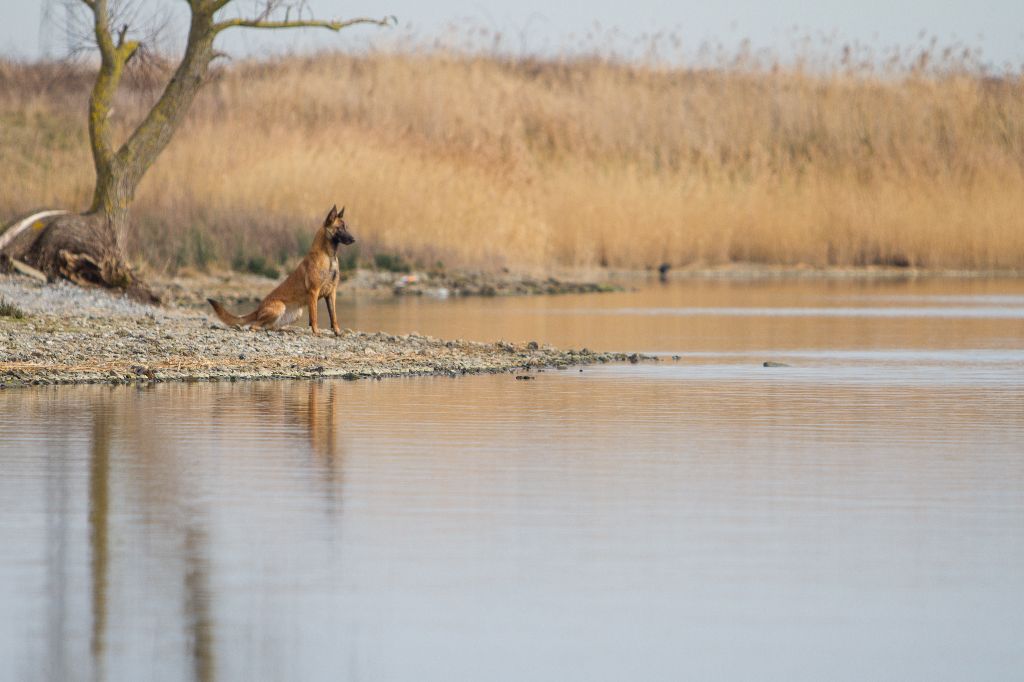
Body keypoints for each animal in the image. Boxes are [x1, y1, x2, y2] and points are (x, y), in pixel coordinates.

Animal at [205, 205, 358, 335]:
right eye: (339, 228)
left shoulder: (331, 293)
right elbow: (314, 316)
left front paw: (337, 332)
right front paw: (316, 332)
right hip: (279, 307)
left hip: (296, 313)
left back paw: (284, 330)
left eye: (346, 227)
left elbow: (334, 316)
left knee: (270, 326)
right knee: (255, 325)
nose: (353, 239)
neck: (329, 256)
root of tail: (258, 309)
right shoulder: (313, 292)